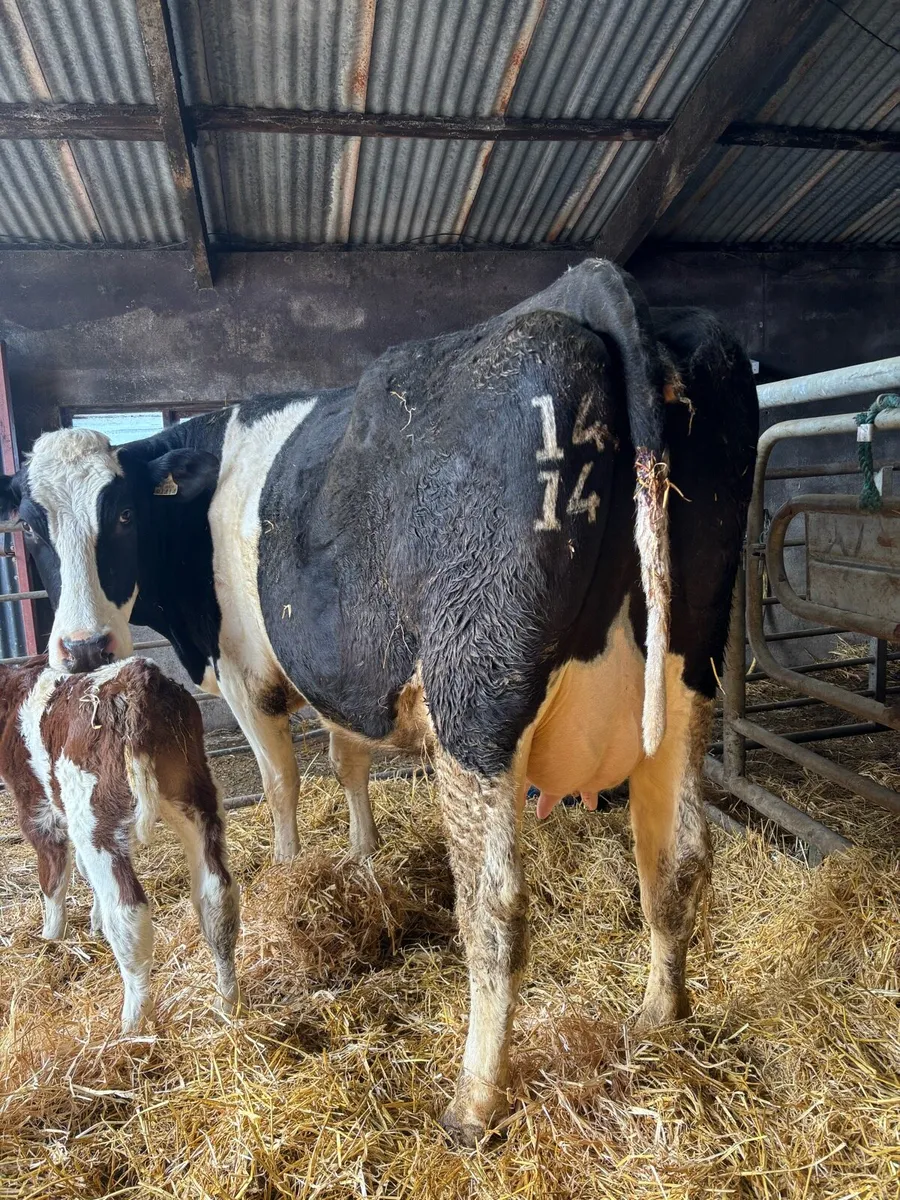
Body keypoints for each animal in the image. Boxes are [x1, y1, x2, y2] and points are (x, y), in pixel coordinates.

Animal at [0, 655, 239, 1031]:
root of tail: (136, 673)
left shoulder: (37, 809)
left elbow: (53, 879)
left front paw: (51, 939)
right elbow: (83, 873)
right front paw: (93, 923)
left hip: (95, 817)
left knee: (129, 913)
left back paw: (132, 1024)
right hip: (196, 793)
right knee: (217, 897)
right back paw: (226, 1002)